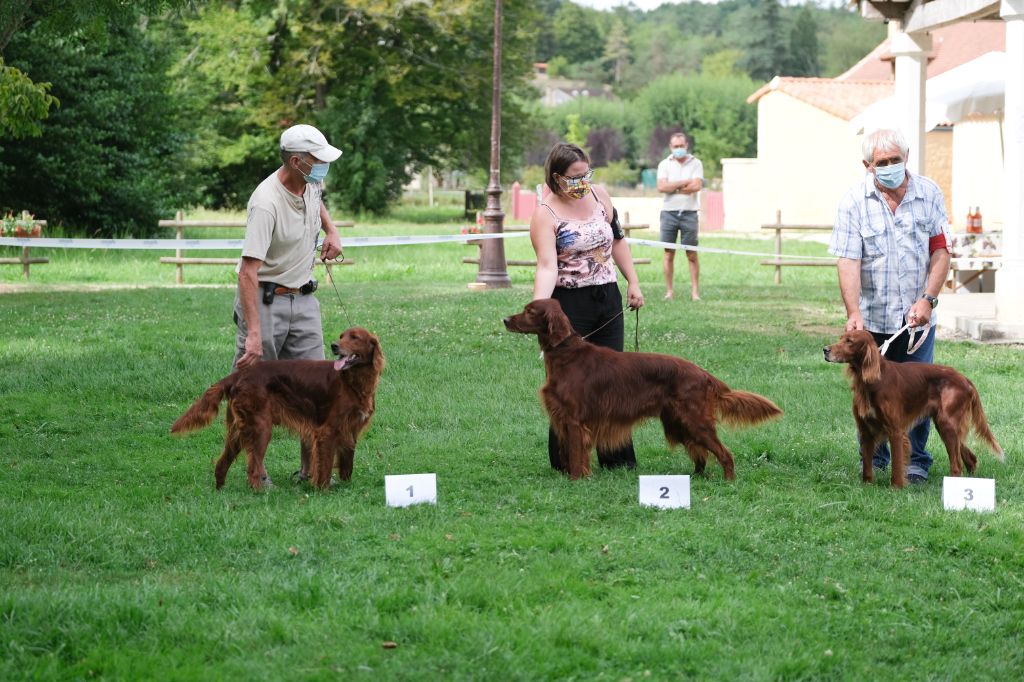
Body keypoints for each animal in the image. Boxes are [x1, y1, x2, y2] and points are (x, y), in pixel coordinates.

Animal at [172, 325, 385, 489]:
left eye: (354, 337)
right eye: (341, 337)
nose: (334, 346)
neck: (354, 381)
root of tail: (239, 375)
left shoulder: (351, 429)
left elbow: (347, 463)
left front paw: (346, 486)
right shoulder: (328, 431)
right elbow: (324, 466)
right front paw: (322, 490)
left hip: (238, 430)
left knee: (222, 462)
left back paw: (220, 489)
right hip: (261, 427)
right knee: (252, 468)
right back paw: (259, 492)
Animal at [503, 296, 782, 477]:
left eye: (530, 311)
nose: (505, 319)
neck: (565, 354)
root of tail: (703, 373)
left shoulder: (574, 420)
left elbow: (575, 456)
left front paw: (575, 480)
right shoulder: (564, 417)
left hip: (694, 420)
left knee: (724, 454)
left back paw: (728, 481)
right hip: (677, 422)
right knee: (699, 453)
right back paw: (696, 478)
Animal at [823, 327, 999, 483]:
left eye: (849, 341)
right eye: (841, 338)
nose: (825, 350)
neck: (873, 381)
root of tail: (965, 379)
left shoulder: (895, 430)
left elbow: (897, 465)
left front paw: (896, 488)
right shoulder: (866, 429)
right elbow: (867, 465)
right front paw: (866, 486)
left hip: (947, 423)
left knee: (957, 465)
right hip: (946, 425)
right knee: (970, 458)